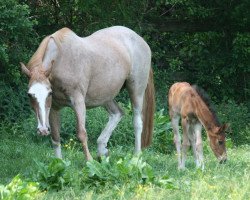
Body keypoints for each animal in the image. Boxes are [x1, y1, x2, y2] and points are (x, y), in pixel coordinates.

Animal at [21, 26, 154, 161]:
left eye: (49, 93)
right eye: (29, 94)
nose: (42, 130)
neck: (60, 60)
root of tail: (141, 40)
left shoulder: (78, 102)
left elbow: (81, 133)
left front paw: (89, 161)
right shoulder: (54, 107)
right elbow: (55, 137)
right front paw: (59, 162)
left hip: (136, 91)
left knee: (137, 122)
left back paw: (136, 155)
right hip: (105, 97)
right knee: (117, 113)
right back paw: (102, 150)